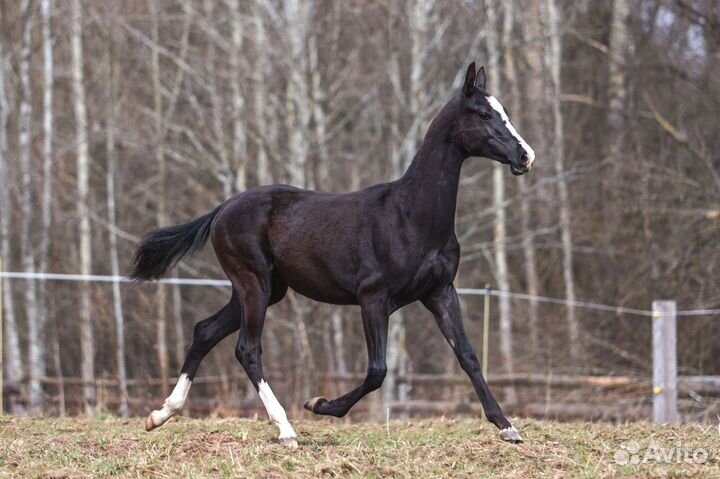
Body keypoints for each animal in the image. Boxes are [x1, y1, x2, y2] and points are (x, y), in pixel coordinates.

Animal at [131, 62, 535, 447]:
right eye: (484, 115)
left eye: (503, 112)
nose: (525, 156)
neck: (411, 216)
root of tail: (222, 209)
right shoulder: (373, 298)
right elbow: (377, 371)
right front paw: (319, 404)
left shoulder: (440, 293)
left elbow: (468, 356)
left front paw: (507, 427)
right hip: (253, 285)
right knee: (247, 349)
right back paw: (286, 429)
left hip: (264, 290)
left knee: (205, 331)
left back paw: (160, 414)